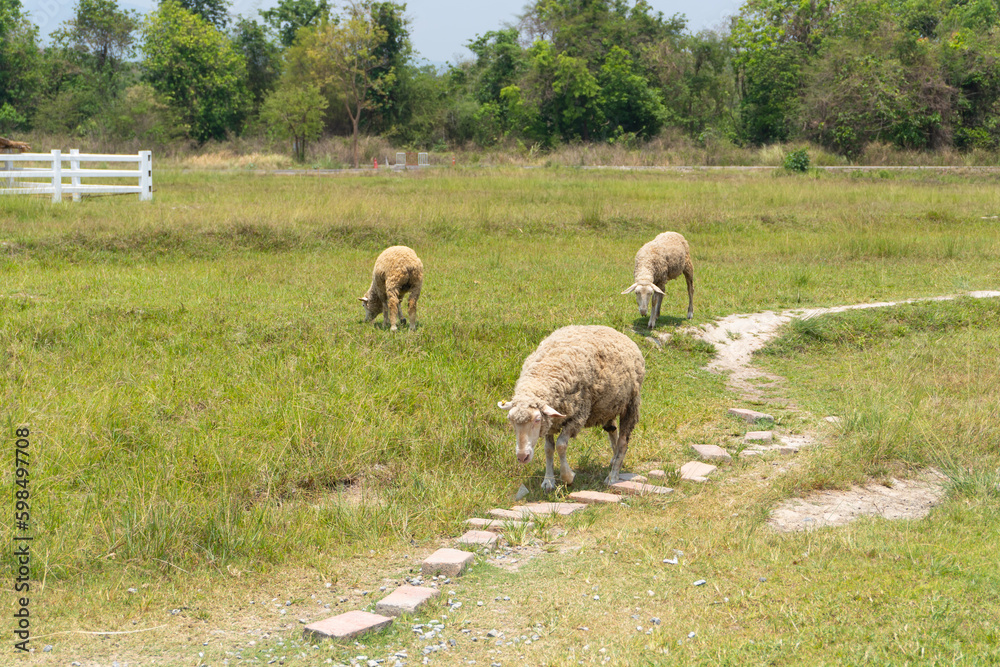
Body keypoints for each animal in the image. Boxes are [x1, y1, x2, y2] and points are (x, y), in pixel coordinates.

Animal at [498, 325, 645, 490]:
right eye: (510, 420)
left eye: (537, 419)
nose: (523, 457)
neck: (545, 371)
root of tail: (614, 331)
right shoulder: (551, 421)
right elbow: (548, 449)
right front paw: (548, 480)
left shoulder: (576, 417)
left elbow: (561, 445)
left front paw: (567, 477)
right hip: (609, 406)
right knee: (612, 431)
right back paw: (614, 459)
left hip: (631, 403)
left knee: (623, 442)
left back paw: (613, 476)